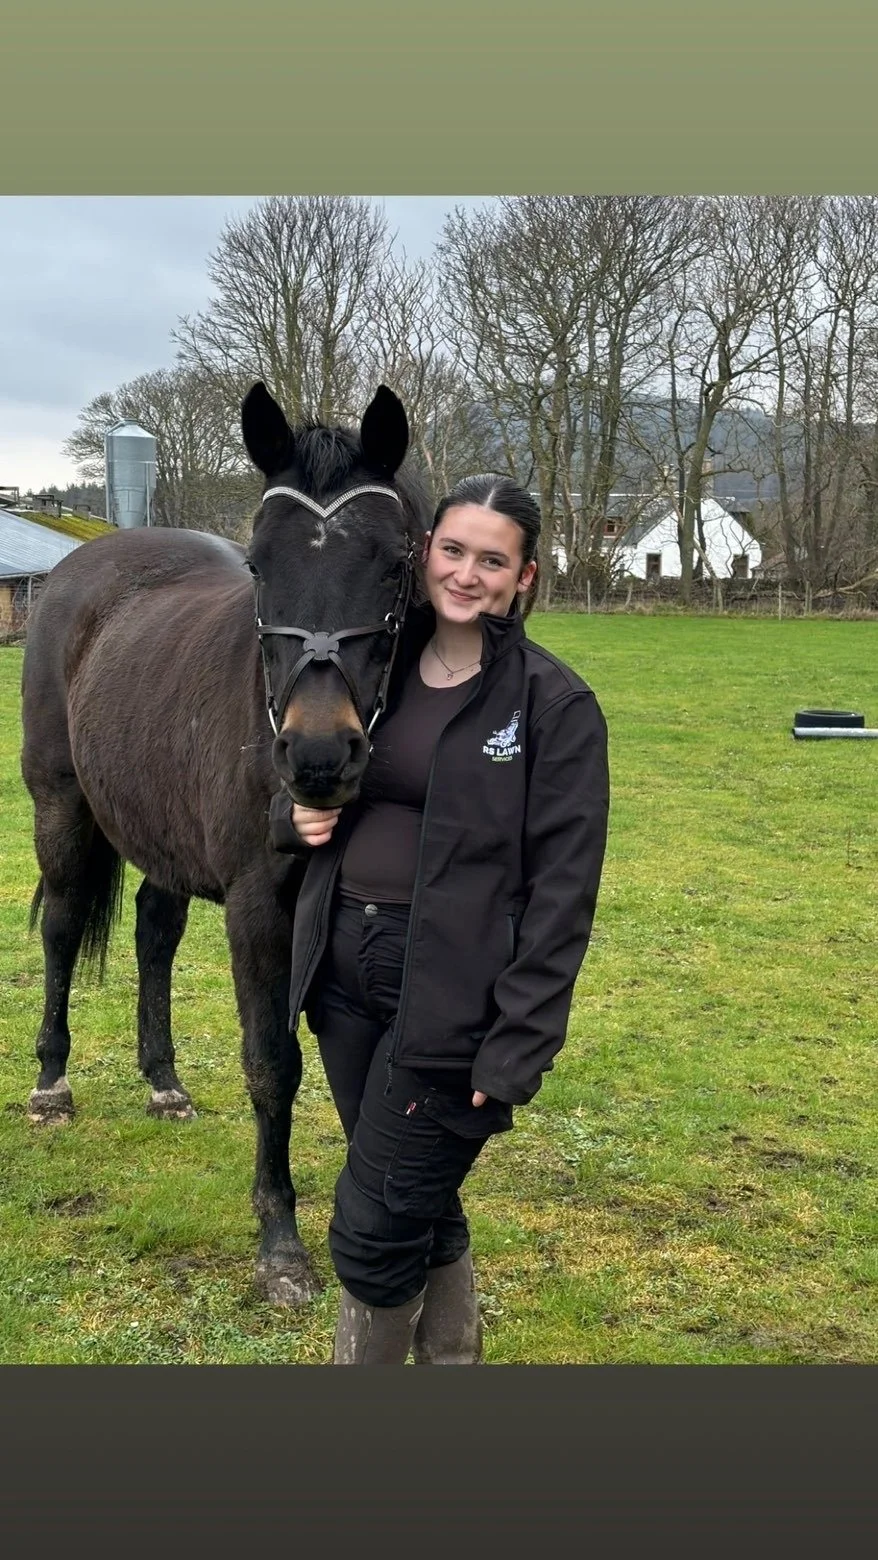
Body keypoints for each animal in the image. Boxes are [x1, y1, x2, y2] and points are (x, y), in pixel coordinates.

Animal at [20, 380, 428, 1304]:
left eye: (395, 562)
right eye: (260, 565)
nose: (318, 756)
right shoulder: (258, 911)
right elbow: (272, 1065)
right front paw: (280, 1243)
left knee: (153, 933)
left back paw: (163, 1082)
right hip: (61, 809)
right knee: (62, 928)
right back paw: (51, 1083)